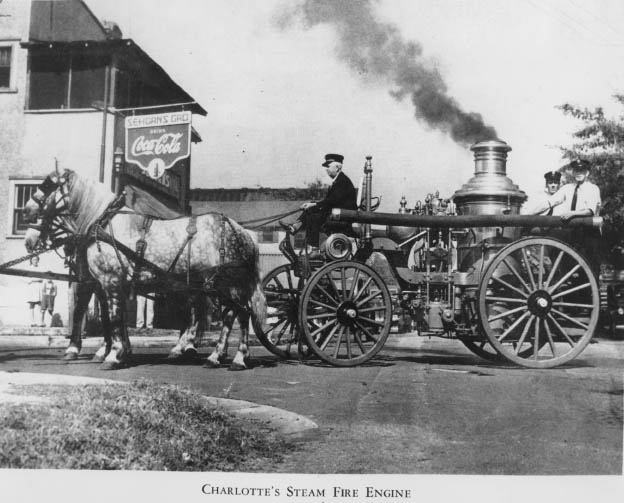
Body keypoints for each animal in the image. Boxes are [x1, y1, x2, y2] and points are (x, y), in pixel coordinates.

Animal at [22, 169, 264, 370]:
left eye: (47, 185)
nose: (26, 212)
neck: (103, 223)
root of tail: (244, 233)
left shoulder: (108, 281)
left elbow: (111, 317)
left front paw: (112, 355)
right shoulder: (106, 284)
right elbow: (113, 318)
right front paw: (118, 352)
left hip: (227, 284)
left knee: (240, 314)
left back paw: (235, 358)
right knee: (231, 314)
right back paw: (216, 356)